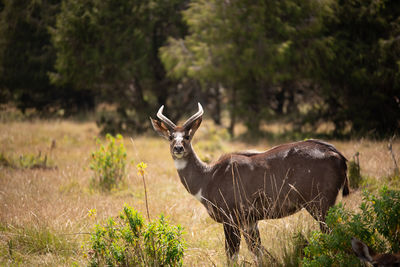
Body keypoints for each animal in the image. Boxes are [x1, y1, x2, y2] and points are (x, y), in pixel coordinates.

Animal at [151, 103, 350, 264]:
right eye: (171, 136)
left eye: (187, 136)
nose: (178, 148)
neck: (208, 178)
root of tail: (339, 156)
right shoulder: (250, 221)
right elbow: (256, 252)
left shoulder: (231, 219)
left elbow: (232, 255)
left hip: (320, 205)